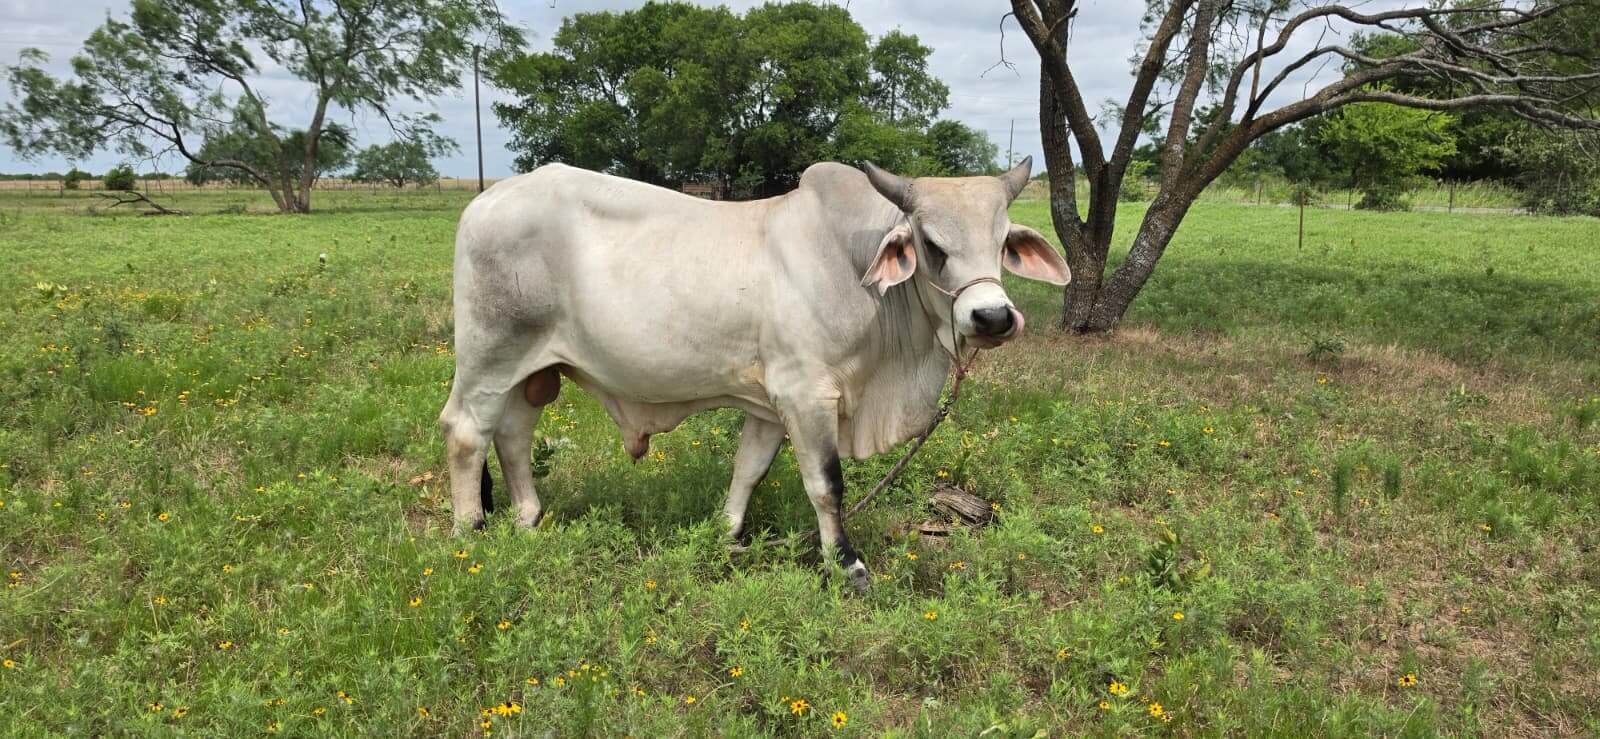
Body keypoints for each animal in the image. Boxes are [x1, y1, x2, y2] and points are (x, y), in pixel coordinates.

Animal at [438, 157, 1069, 590]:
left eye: (1002, 241)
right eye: (933, 245)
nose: (991, 317)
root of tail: (483, 203)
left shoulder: (770, 405)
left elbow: (748, 471)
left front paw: (729, 538)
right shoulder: (807, 395)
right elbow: (827, 485)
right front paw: (848, 566)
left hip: (532, 370)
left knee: (513, 434)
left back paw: (528, 520)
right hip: (490, 356)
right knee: (468, 432)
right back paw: (470, 534)